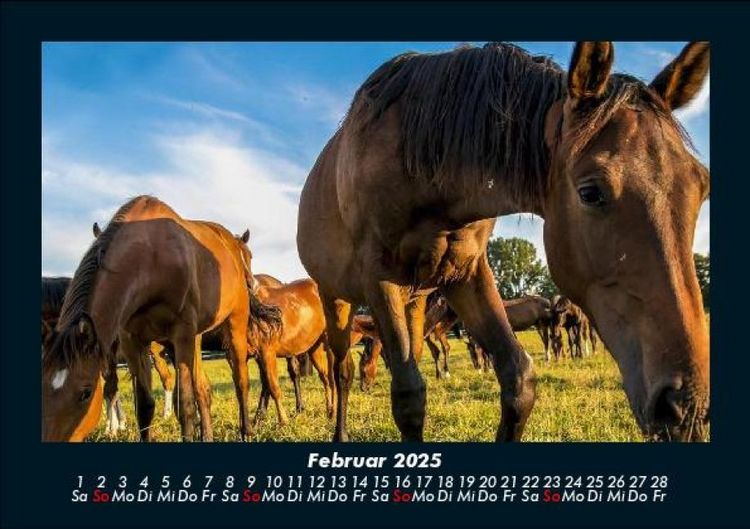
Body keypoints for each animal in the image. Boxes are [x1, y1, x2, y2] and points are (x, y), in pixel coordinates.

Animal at [42, 196, 272, 441]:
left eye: (85, 393)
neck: (151, 259)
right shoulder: (132, 341)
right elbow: (144, 407)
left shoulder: (181, 335)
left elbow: (185, 406)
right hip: (194, 338)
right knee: (203, 389)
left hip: (235, 324)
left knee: (240, 381)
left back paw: (247, 431)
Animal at [297, 41, 710, 442]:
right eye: (590, 192)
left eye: (702, 186)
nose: (685, 406)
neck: (419, 165)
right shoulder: (379, 278)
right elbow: (409, 397)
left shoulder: (467, 273)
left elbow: (518, 379)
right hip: (336, 300)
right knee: (342, 368)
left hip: (413, 301)